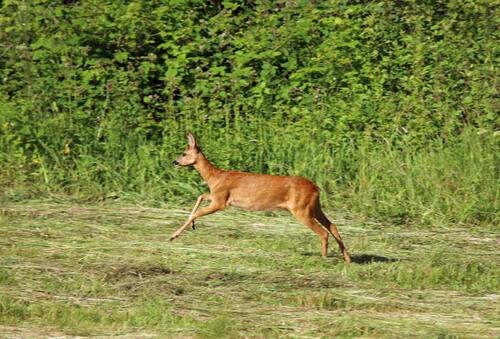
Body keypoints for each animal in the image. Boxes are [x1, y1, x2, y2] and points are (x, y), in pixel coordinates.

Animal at [171, 133, 352, 262]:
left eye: (184, 153)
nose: (174, 161)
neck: (214, 177)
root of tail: (316, 188)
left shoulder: (221, 200)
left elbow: (197, 209)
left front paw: (174, 235)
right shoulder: (217, 196)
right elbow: (201, 196)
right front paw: (190, 226)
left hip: (302, 210)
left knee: (323, 232)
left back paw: (324, 257)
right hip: (314, 207)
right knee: (332, 226)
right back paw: (347, 258)